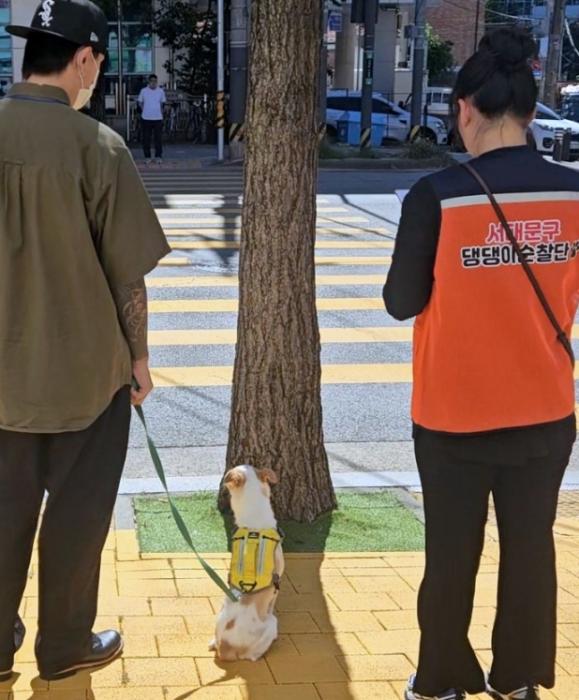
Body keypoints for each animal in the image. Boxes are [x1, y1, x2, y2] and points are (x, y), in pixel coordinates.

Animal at [210, 465, 285, 662]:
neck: (254, 527)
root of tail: (224, 649)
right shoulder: (278, 583)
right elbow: (272, 602)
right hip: (271, 625)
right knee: (254, 654)